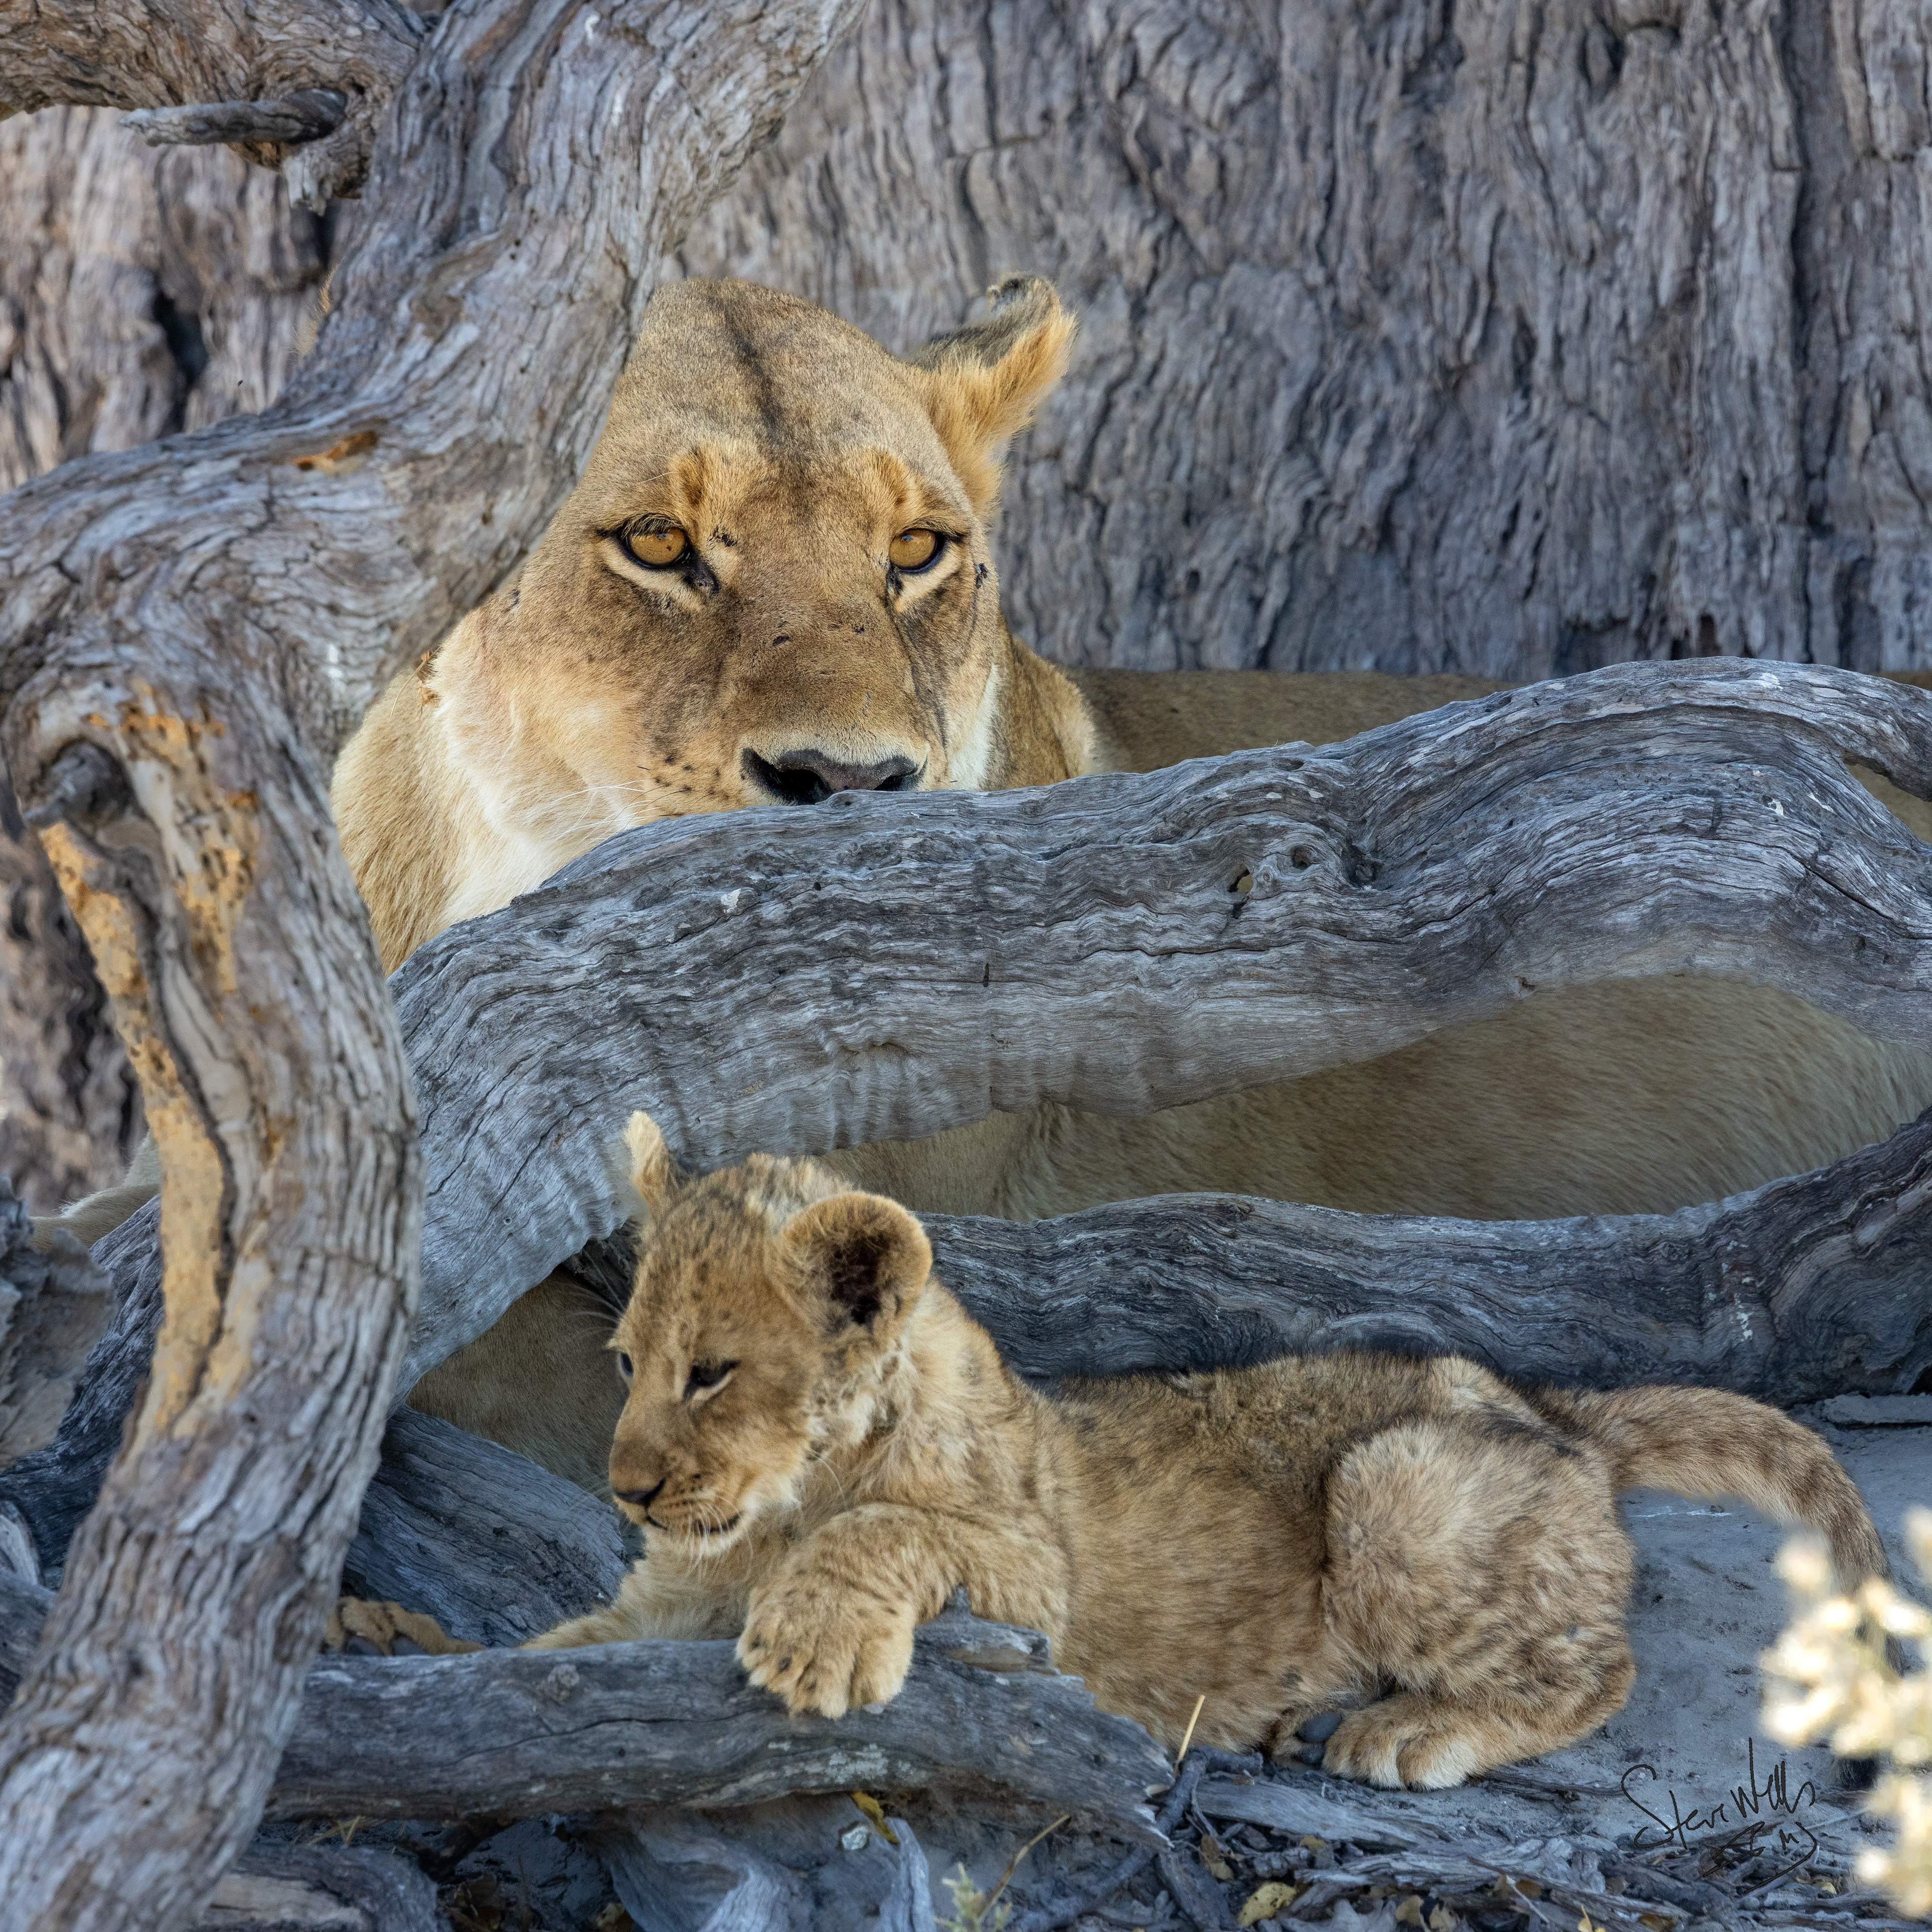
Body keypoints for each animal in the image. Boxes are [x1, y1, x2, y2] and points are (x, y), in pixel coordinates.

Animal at [524, 1116, 1887, 1789]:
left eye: (712, 1371)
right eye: (627, 1366)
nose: (624, 1489)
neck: (772, 1510)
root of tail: (1555, 1409)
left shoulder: (1041, 1588)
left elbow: (895, 1526)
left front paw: (816, 1639)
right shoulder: (658, 1604)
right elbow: (561, 1648)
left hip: (1392, 1488)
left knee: (1603, 1670)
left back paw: (1403, 1733)